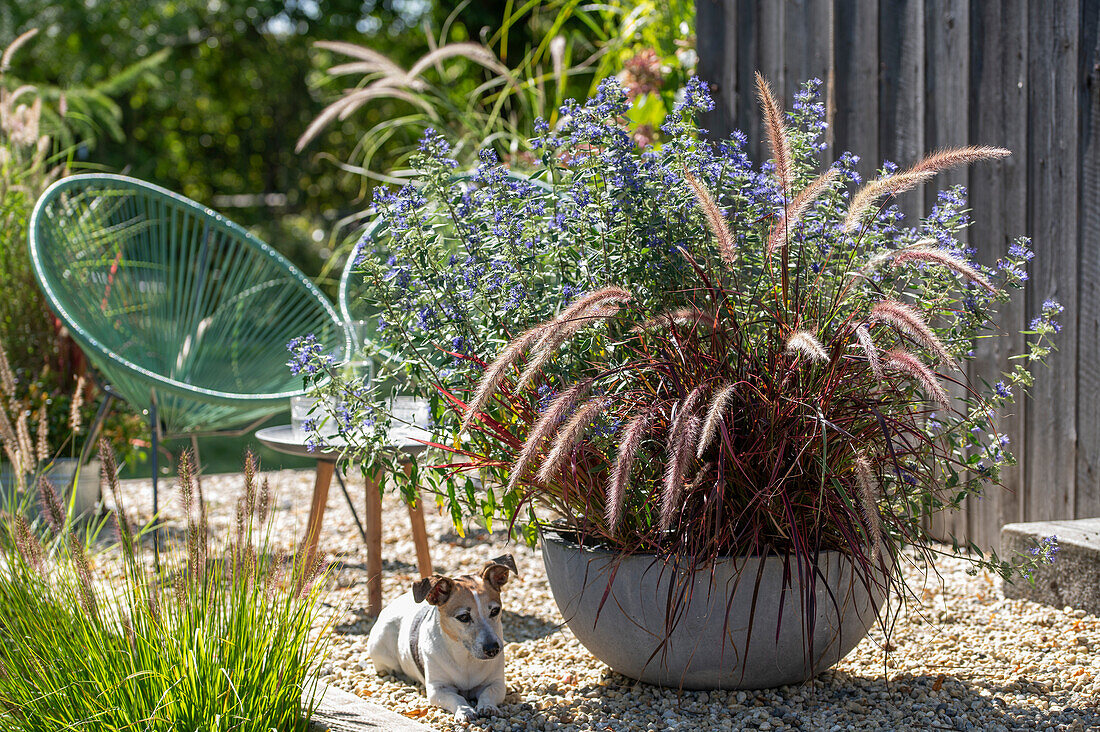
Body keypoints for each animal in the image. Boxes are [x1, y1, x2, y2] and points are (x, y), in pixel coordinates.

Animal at [365, 554, 519, 717]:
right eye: (463, 617)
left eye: (495, 611)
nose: (493, 649)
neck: (466, 658)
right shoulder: (438, 689)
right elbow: (456, 698)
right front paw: (464, 710)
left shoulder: (496, 683)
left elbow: (488, 693)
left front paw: (487, 706)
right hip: (383, 653)